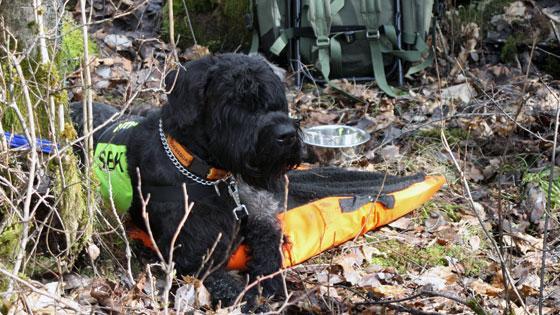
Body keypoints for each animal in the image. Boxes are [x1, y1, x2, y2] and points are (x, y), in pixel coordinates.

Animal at [74, 53, 304, 310]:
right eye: (236, 101)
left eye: (275, 99)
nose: (287, 135)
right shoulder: (194, 256)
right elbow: (229, 287)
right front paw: (255, 302)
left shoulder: (257, 212)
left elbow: (270, 244)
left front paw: (269, 281)